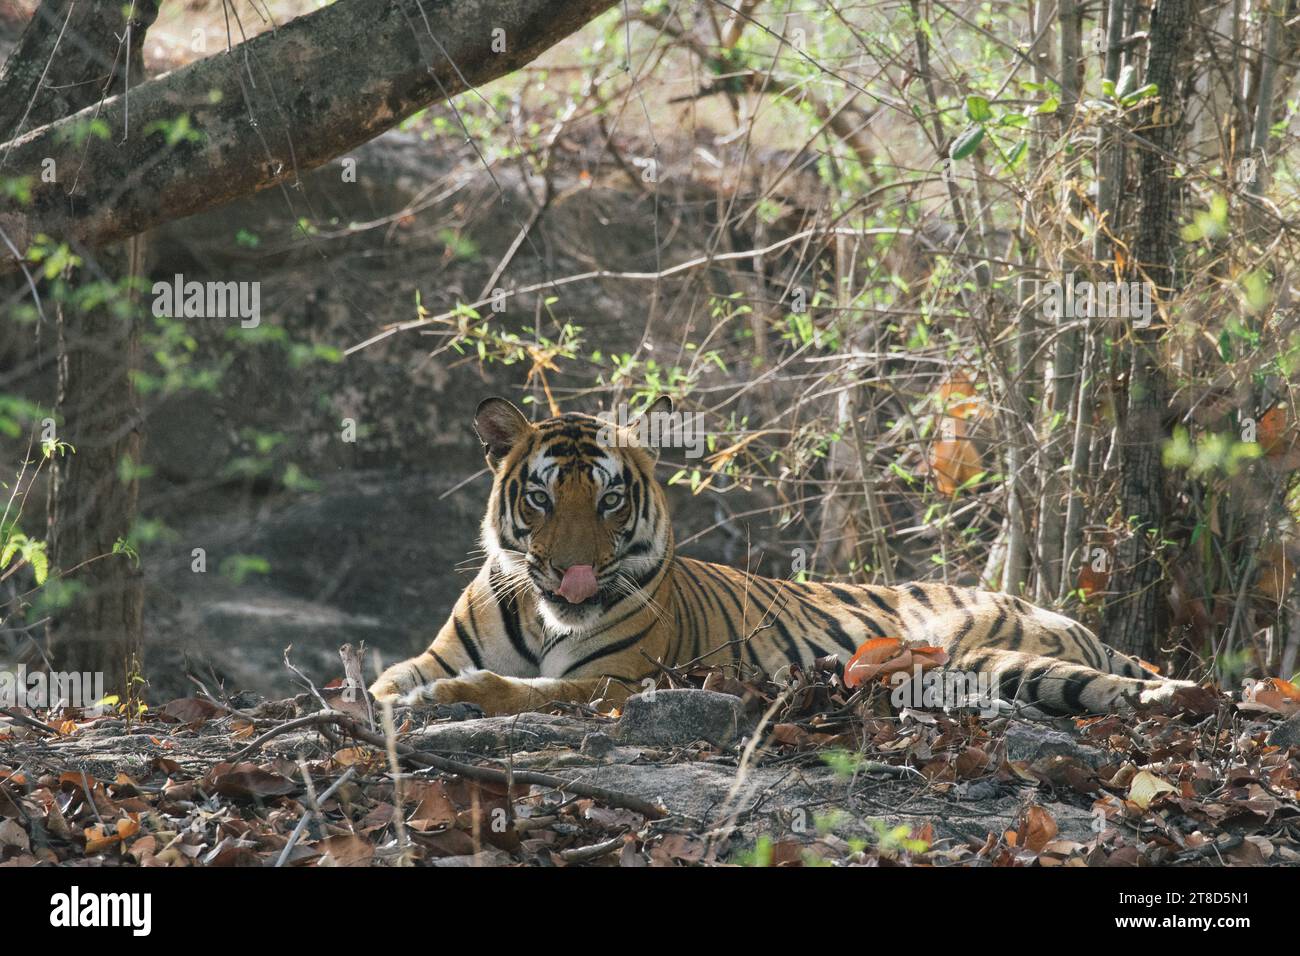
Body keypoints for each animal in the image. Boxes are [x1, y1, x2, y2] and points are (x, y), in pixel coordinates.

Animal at [369, 395, 1196, 717]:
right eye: (541, 498)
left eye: (608, 502)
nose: (573, 573)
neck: (547, 619)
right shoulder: (435, 652)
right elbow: (390, 678)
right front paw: (388, 698)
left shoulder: (613, 680)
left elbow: (518, 690)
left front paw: (449, 700)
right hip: (993, 668)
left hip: (999, 649)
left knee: (1132, 687)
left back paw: (1179, 695)